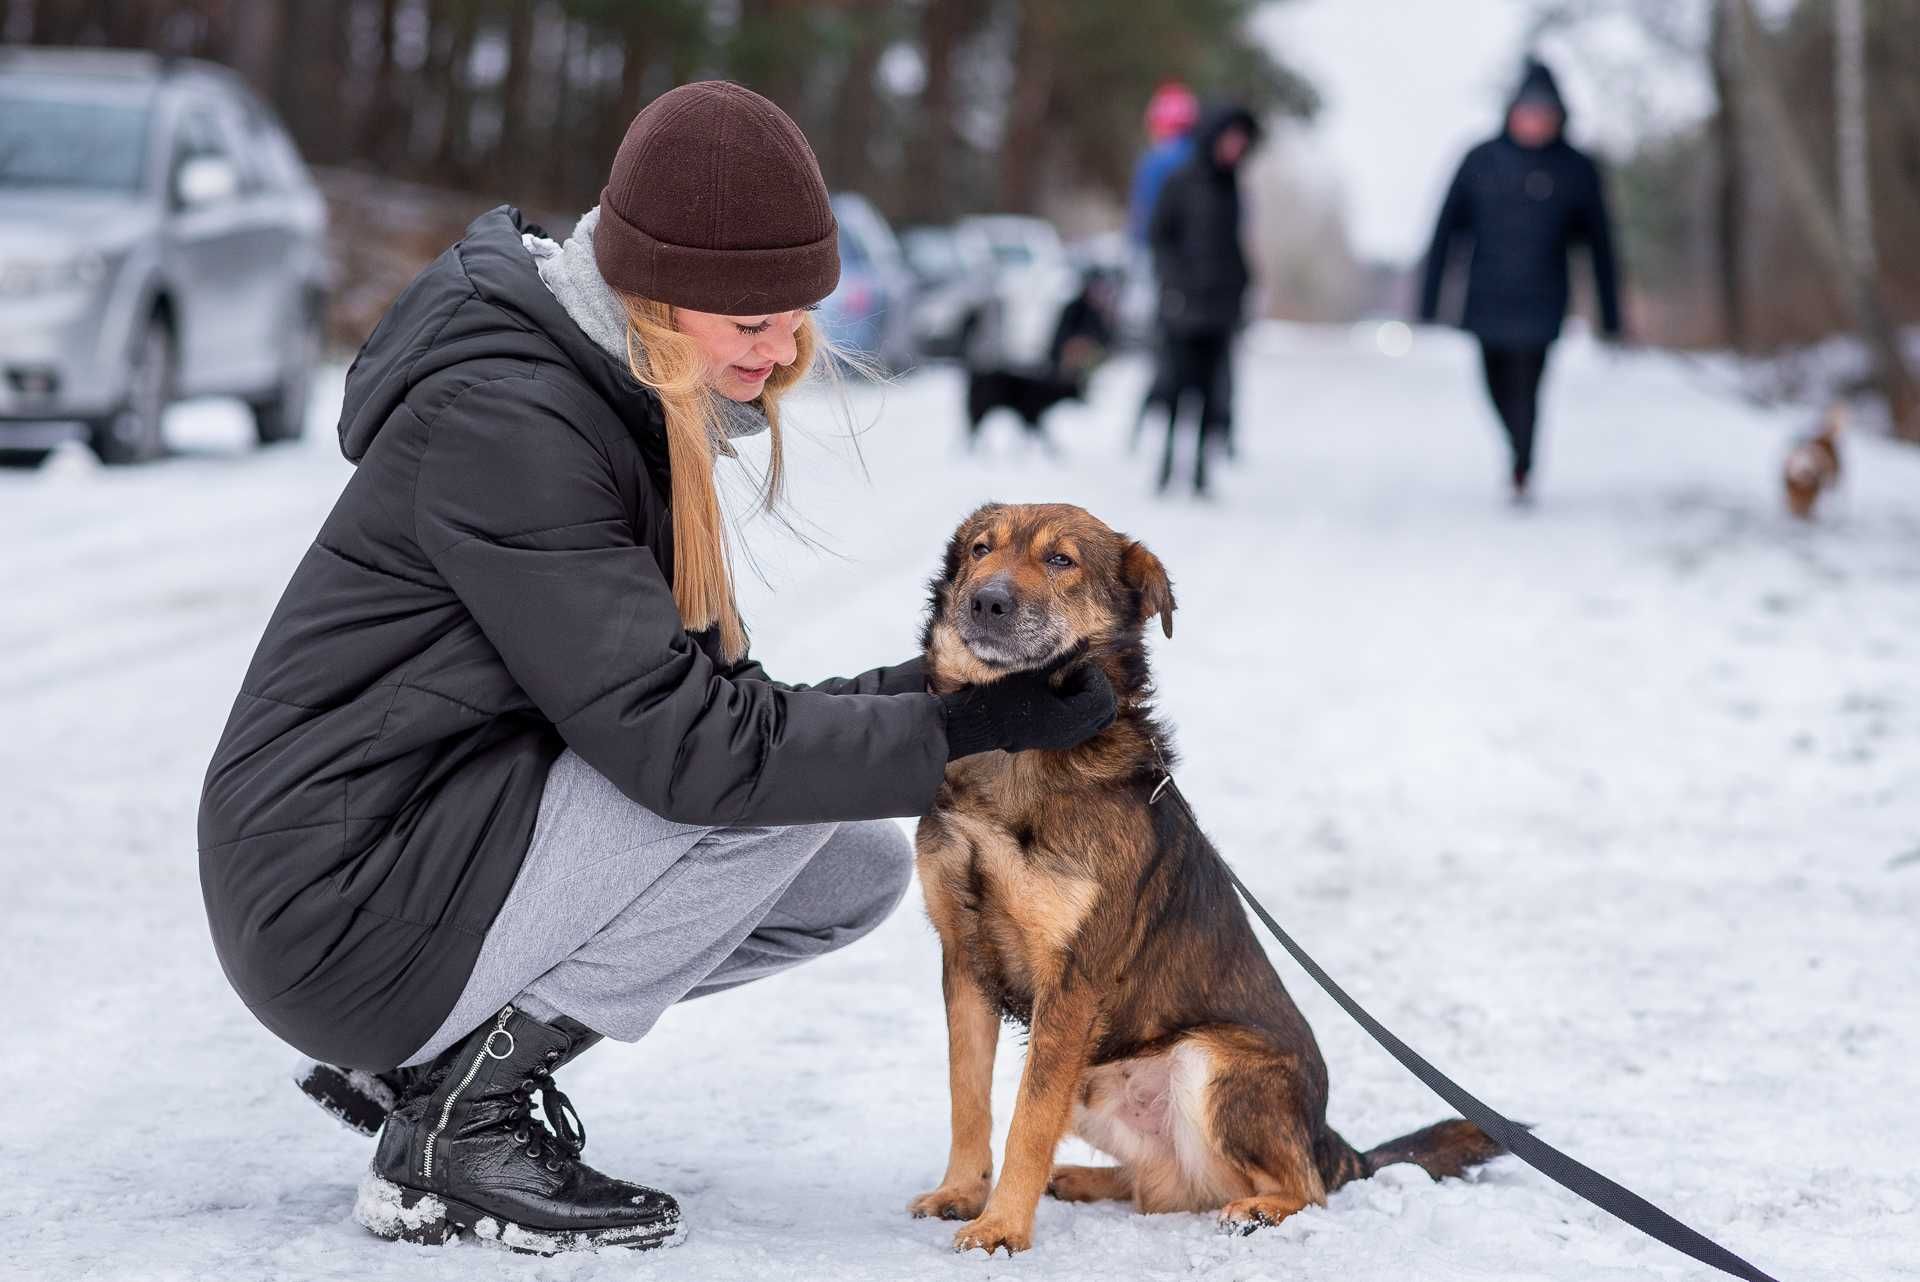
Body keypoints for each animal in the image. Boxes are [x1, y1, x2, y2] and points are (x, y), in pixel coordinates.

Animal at [910, 498, 1497, 1251]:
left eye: (1061, 560)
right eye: (981, 549)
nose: (986, 600)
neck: (1011, 749)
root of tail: (1330, 1141)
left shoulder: (1071, 984)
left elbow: (1028, 1121)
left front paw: (1002, 1226)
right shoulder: (964, 960)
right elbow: (970, 1098)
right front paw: (962, 1193)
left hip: (1207, 1061)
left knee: (1301, 1189)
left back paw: (1258, 1208)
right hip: (1094, 1075)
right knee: (1163, 1189)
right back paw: (1081, 1179)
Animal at [967, 268, 1121, 451]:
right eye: (1079, 389)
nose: (1088, 402)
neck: (1049, 388)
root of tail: (975, 372)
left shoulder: (1028, 417)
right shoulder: (1031, 415)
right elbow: (1044, 438)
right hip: (981, 408)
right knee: (974, 429)